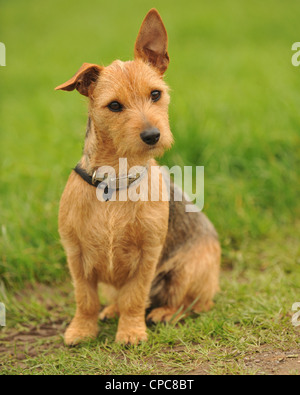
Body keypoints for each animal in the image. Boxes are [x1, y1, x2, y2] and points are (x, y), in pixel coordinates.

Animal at [55, 9, 220, 346]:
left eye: (155, 94)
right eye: (114, 105)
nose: (152, 135)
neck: (115, 181)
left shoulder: (147, 255)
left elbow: (135, 296)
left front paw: (131, 331)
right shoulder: (75, 254)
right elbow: (85, 298)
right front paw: (82, 329)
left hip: (188, 271)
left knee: (194, 303)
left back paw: (165, 313)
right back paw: (112, 311)